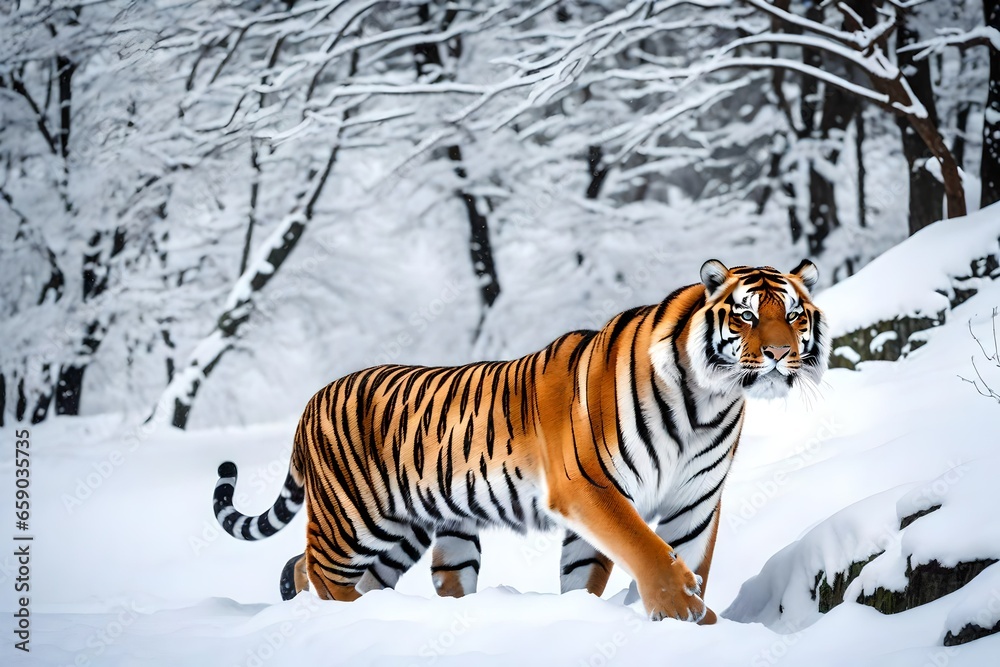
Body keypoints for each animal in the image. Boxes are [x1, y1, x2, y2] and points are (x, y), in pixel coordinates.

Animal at [213, 260, 829, 623]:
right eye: (745, 316)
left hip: (405, 530)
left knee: (308, 566)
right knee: (323, 569)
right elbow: (648, 550)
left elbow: (663, 561)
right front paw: (681, 611)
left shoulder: (695, 501)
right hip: (356, 517)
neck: (707, 402)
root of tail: (312, 399)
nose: (779, 353)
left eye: (794, 315)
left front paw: (692, 623)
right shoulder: (590, 485)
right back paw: (347, 619)